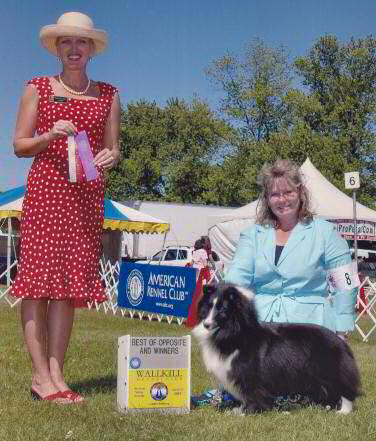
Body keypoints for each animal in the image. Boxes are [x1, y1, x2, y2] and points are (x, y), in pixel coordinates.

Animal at [194, 282, 362, 412]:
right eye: (209, 307)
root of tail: (341, 342)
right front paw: (238, 410)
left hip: (331, 371)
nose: (206, 324)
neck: (235, 331)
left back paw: (343, 411)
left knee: (345, 391)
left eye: (222, 309)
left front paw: (248, 412)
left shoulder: (249, 373)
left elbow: (251, 393)